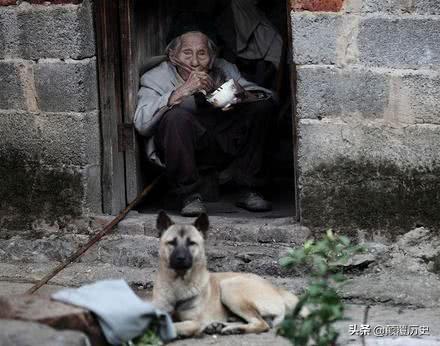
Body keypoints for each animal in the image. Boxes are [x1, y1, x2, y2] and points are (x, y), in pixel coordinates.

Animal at [151, 211, 302, 338]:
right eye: (171, 243)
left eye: (191, 243)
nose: (181, 258)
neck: (178, 282)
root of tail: (277, 290)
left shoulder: (193, 323)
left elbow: (171, 326)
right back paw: (219, 325)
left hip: (230, 287)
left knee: (261, 323)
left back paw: (234, 329)